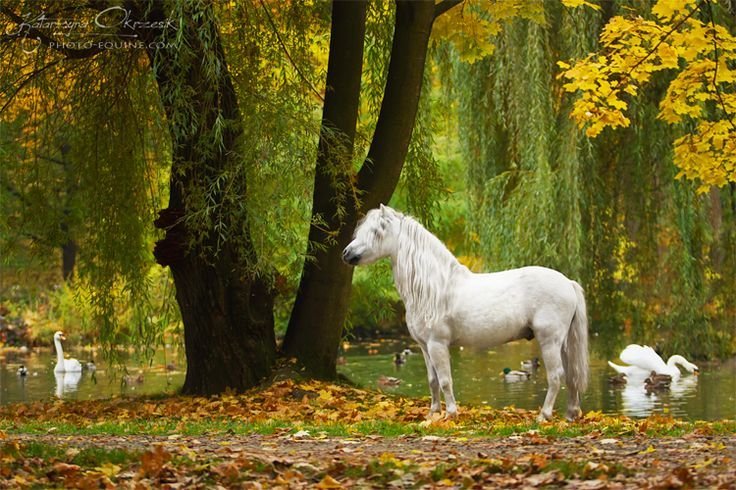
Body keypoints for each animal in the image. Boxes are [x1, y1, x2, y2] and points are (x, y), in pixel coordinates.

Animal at [342, 204, 588, 422]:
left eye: (376, 231)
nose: (346, 253)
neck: (434, 288)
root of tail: (568, 282)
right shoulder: (424, 346)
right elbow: (432, 380)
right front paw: (432, 414)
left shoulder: (437, 345)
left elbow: (445, 380)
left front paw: (450, 414)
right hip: (562, 343)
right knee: (572, 374)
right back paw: (570, 414)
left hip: (549, 341)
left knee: (556, 376)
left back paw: (543, 415)